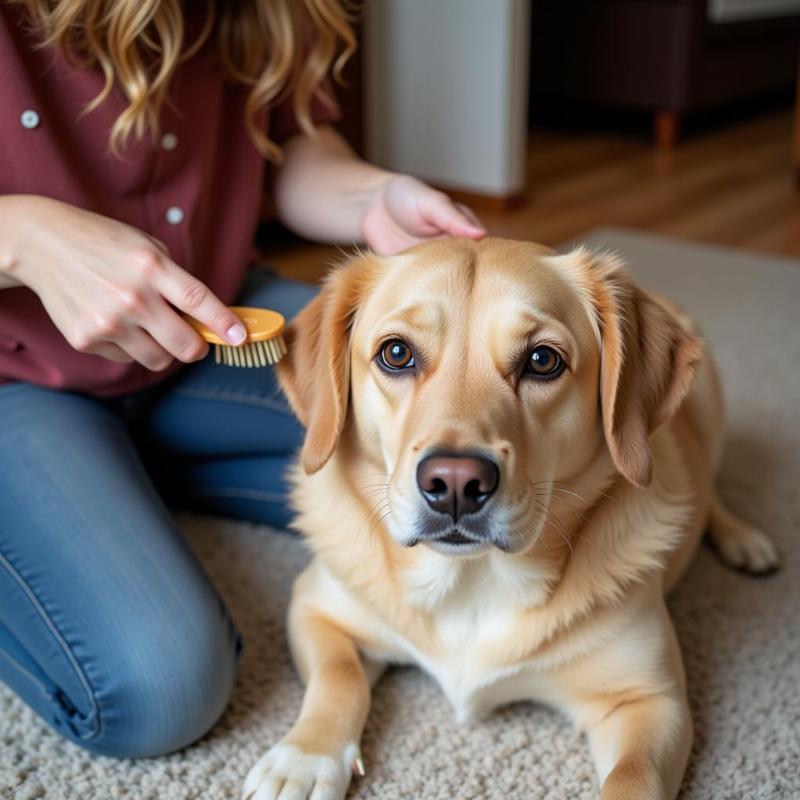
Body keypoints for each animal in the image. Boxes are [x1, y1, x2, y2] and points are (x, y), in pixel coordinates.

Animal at [241, 238, 780, 800]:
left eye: (542, 360)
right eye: (396, 353)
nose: (456, 483)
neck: (471, 582)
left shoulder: (651, 700)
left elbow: (632, 778)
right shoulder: (315, 609)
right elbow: (338, 678)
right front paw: (304, 758)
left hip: (710, 405)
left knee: (710, 489)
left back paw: (744, 539)